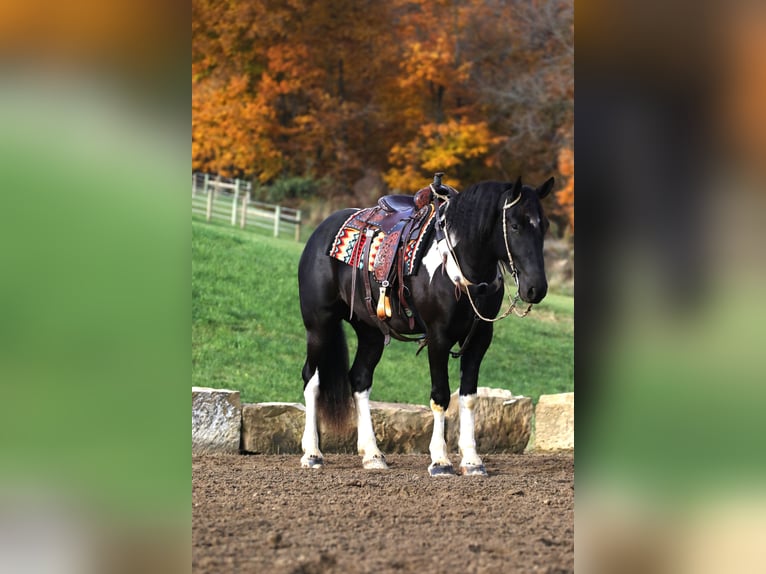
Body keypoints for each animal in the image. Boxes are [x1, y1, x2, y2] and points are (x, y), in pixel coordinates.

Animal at [296, 176, 556, 476]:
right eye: (514, 225)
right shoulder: (438, 337)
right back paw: (312, 453)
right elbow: (440, 395)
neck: (460, 264)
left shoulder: (480, 339)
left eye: (544, 225)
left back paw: (372, 455)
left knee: (360, 381)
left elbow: (469, 396)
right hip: (319, 325)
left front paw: (472, 460)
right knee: (312, 379)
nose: (536, 288)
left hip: (371, 332)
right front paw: (440, 460)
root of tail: (322, 230)